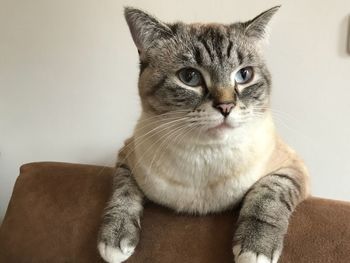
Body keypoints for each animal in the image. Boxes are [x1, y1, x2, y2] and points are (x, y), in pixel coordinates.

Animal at [97, 6, 308, 263]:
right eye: (189, 77)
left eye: (244, 75)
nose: (226, 106)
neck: (205, 154)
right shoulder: (125, 158)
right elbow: (123, 194)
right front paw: (115, 240)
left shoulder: (291, 168)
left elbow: (268, 197)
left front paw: (255, 249)